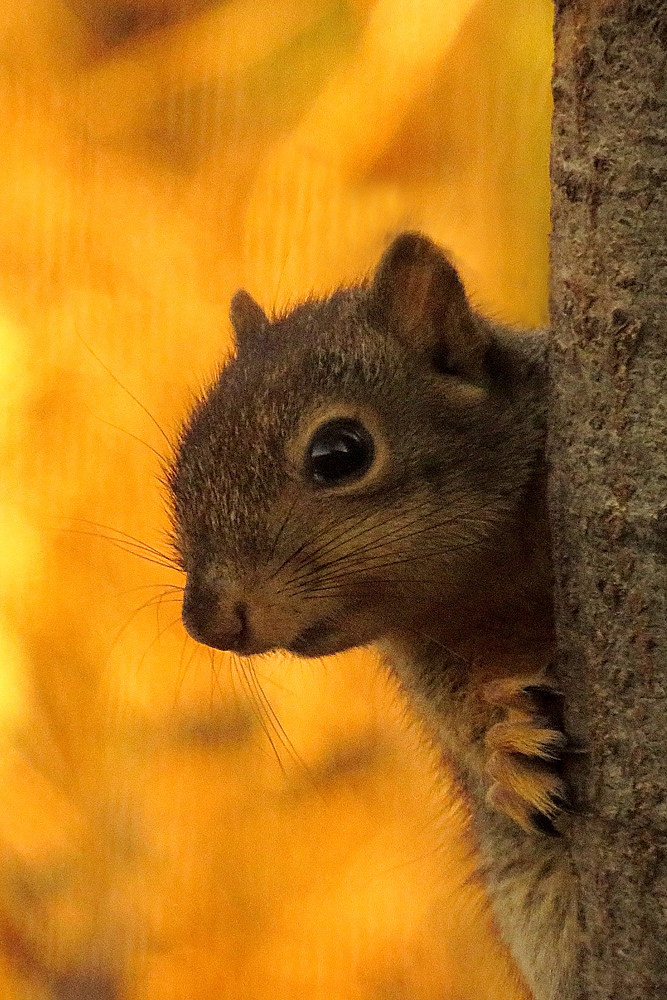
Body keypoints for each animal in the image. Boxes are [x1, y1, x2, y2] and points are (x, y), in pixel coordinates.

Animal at [167, 232, 579, 1000]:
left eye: (340, 454)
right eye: (181, 470)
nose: (209, 622)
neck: (485, 575)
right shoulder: (419, 649)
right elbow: (456, 715)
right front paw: (506, 749)